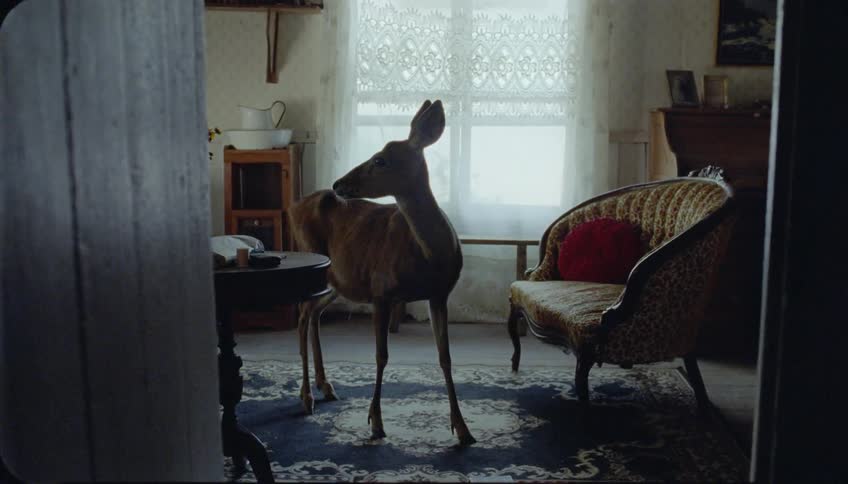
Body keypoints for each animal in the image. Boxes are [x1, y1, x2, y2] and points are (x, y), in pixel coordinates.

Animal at [287, 100, 476, 447]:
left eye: (380, 160)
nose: (338, 184)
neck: (430, 257)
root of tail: (292, 207)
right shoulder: (381, 289)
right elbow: (380, 355)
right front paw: (375, 423)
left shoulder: (439, 294)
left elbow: (445, 356)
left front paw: (463, 429)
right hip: (316, 266)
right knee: (303, 317)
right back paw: (306, 396)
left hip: (336, 281)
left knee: (315, 315)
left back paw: (325, 386)